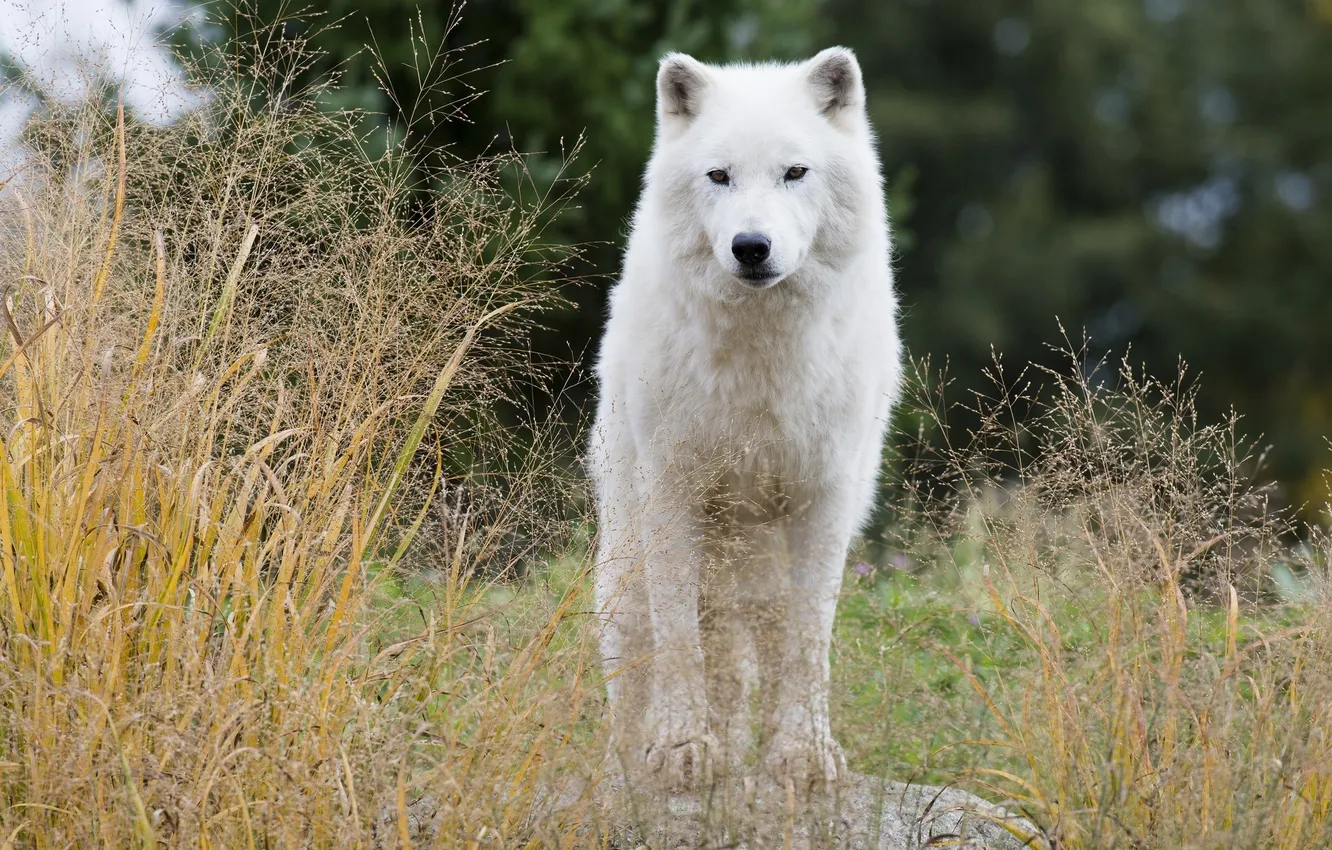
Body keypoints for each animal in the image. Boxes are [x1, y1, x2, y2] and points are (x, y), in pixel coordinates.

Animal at [588, 46, 901, 792]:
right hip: (627, 578)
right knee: (652, 675)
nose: (751, 247)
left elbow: (810, 641)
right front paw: (680, 749)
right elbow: (680, 638)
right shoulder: (671, 493)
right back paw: (648, 764)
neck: (763, 362)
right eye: (719, 176)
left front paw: (805, 756)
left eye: (795, 172)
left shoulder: (825, 500)